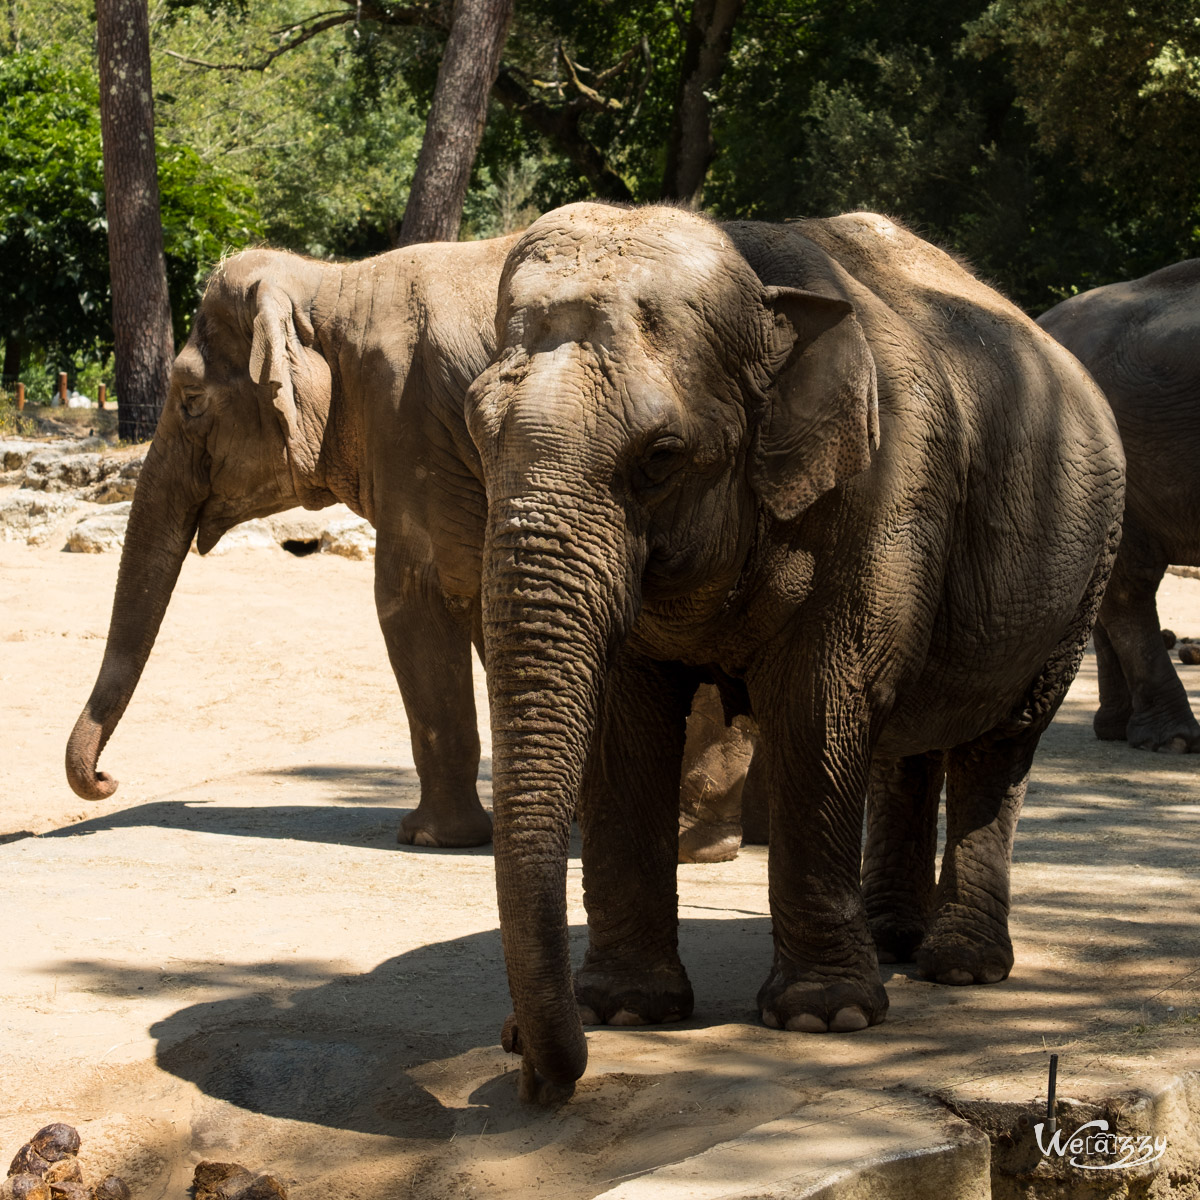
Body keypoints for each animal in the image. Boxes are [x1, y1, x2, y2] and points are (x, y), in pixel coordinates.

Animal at [65, 238, 518, 849]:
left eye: (191, 398)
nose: (108, 778)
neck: (333, 285)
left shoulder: (409, 422)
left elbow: (415, 596)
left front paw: (429, 837)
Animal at [460, 201, 1123, 1099]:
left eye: (661, 457)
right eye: (474, 429)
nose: (521, 1060)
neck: (758, 280)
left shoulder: (882, 494)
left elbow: (818, 708)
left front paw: (824, 1018)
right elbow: (626, 724)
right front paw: (623, 1010)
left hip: (1083, 580)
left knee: (1000, 743)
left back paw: (959, 965)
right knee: (902, 745)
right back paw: (889, 938)